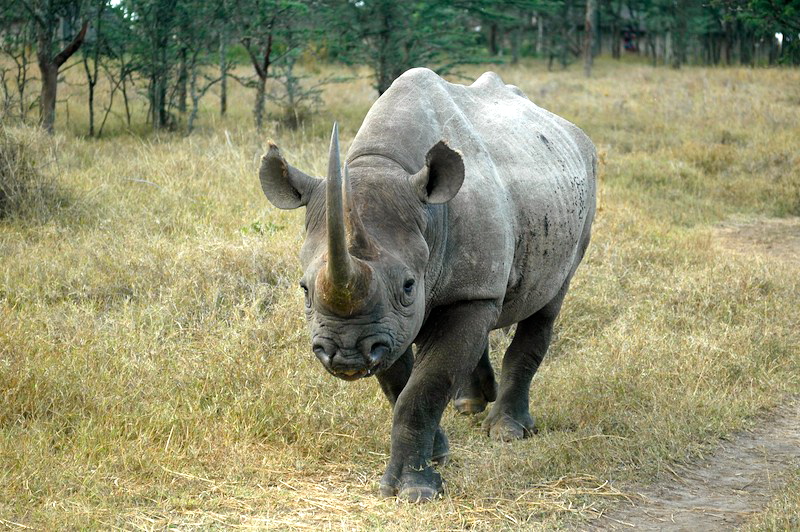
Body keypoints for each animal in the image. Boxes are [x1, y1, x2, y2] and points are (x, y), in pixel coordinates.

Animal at [258, 68, 596, 502]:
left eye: (407, 286)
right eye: (303, 289)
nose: (345, 355)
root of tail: (571, 130)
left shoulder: (449, 301)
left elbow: (423, 389)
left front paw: (415, 491)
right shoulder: (385, 326)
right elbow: (399, 385)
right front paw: (438, 453)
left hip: (580, 188)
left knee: (548, 302)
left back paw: (508, 431)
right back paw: (469, 405)